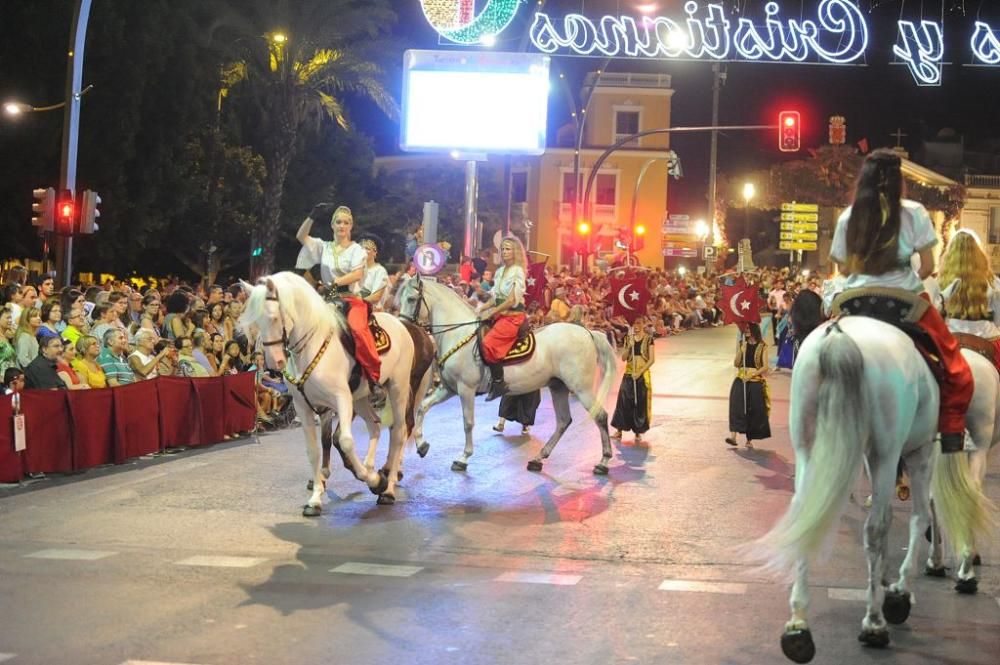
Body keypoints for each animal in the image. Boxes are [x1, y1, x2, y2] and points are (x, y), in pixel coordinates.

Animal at [241, 270, 430, 512]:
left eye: (274, 317)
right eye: (257, 322)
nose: (274, 362)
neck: (311, 347)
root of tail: (404, 326)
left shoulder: (342, 400)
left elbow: (345, 441)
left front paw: (374, 481)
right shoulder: (305, 406)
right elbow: (314, 450)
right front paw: (315, 498)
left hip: (399, 388)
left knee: (399, 431)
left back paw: (388, 487)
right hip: (362, 398)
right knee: (375, 426)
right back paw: (373, 468)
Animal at [396, 274, 616, 472]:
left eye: (411, 299)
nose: (402, 326)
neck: (458, 334)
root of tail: (587, 332)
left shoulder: (466, 389)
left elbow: (468, 423)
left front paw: (463, 457)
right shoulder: (448, 389)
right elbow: (422, 407)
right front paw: (422, 445)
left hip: (581, 389)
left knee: (600, 416)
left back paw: (603, 462)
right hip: (558, 387)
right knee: (563, 421)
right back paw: (538, 458)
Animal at [756, 320, 992, 660]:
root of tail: (839, 334)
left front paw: (886, 577)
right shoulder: (920, 452)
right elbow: (920, 515)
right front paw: (900, 592)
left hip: (808, 446)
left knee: (805, 520)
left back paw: (798, 626)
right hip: (889, 451)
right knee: (877, 527)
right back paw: (874, 622)